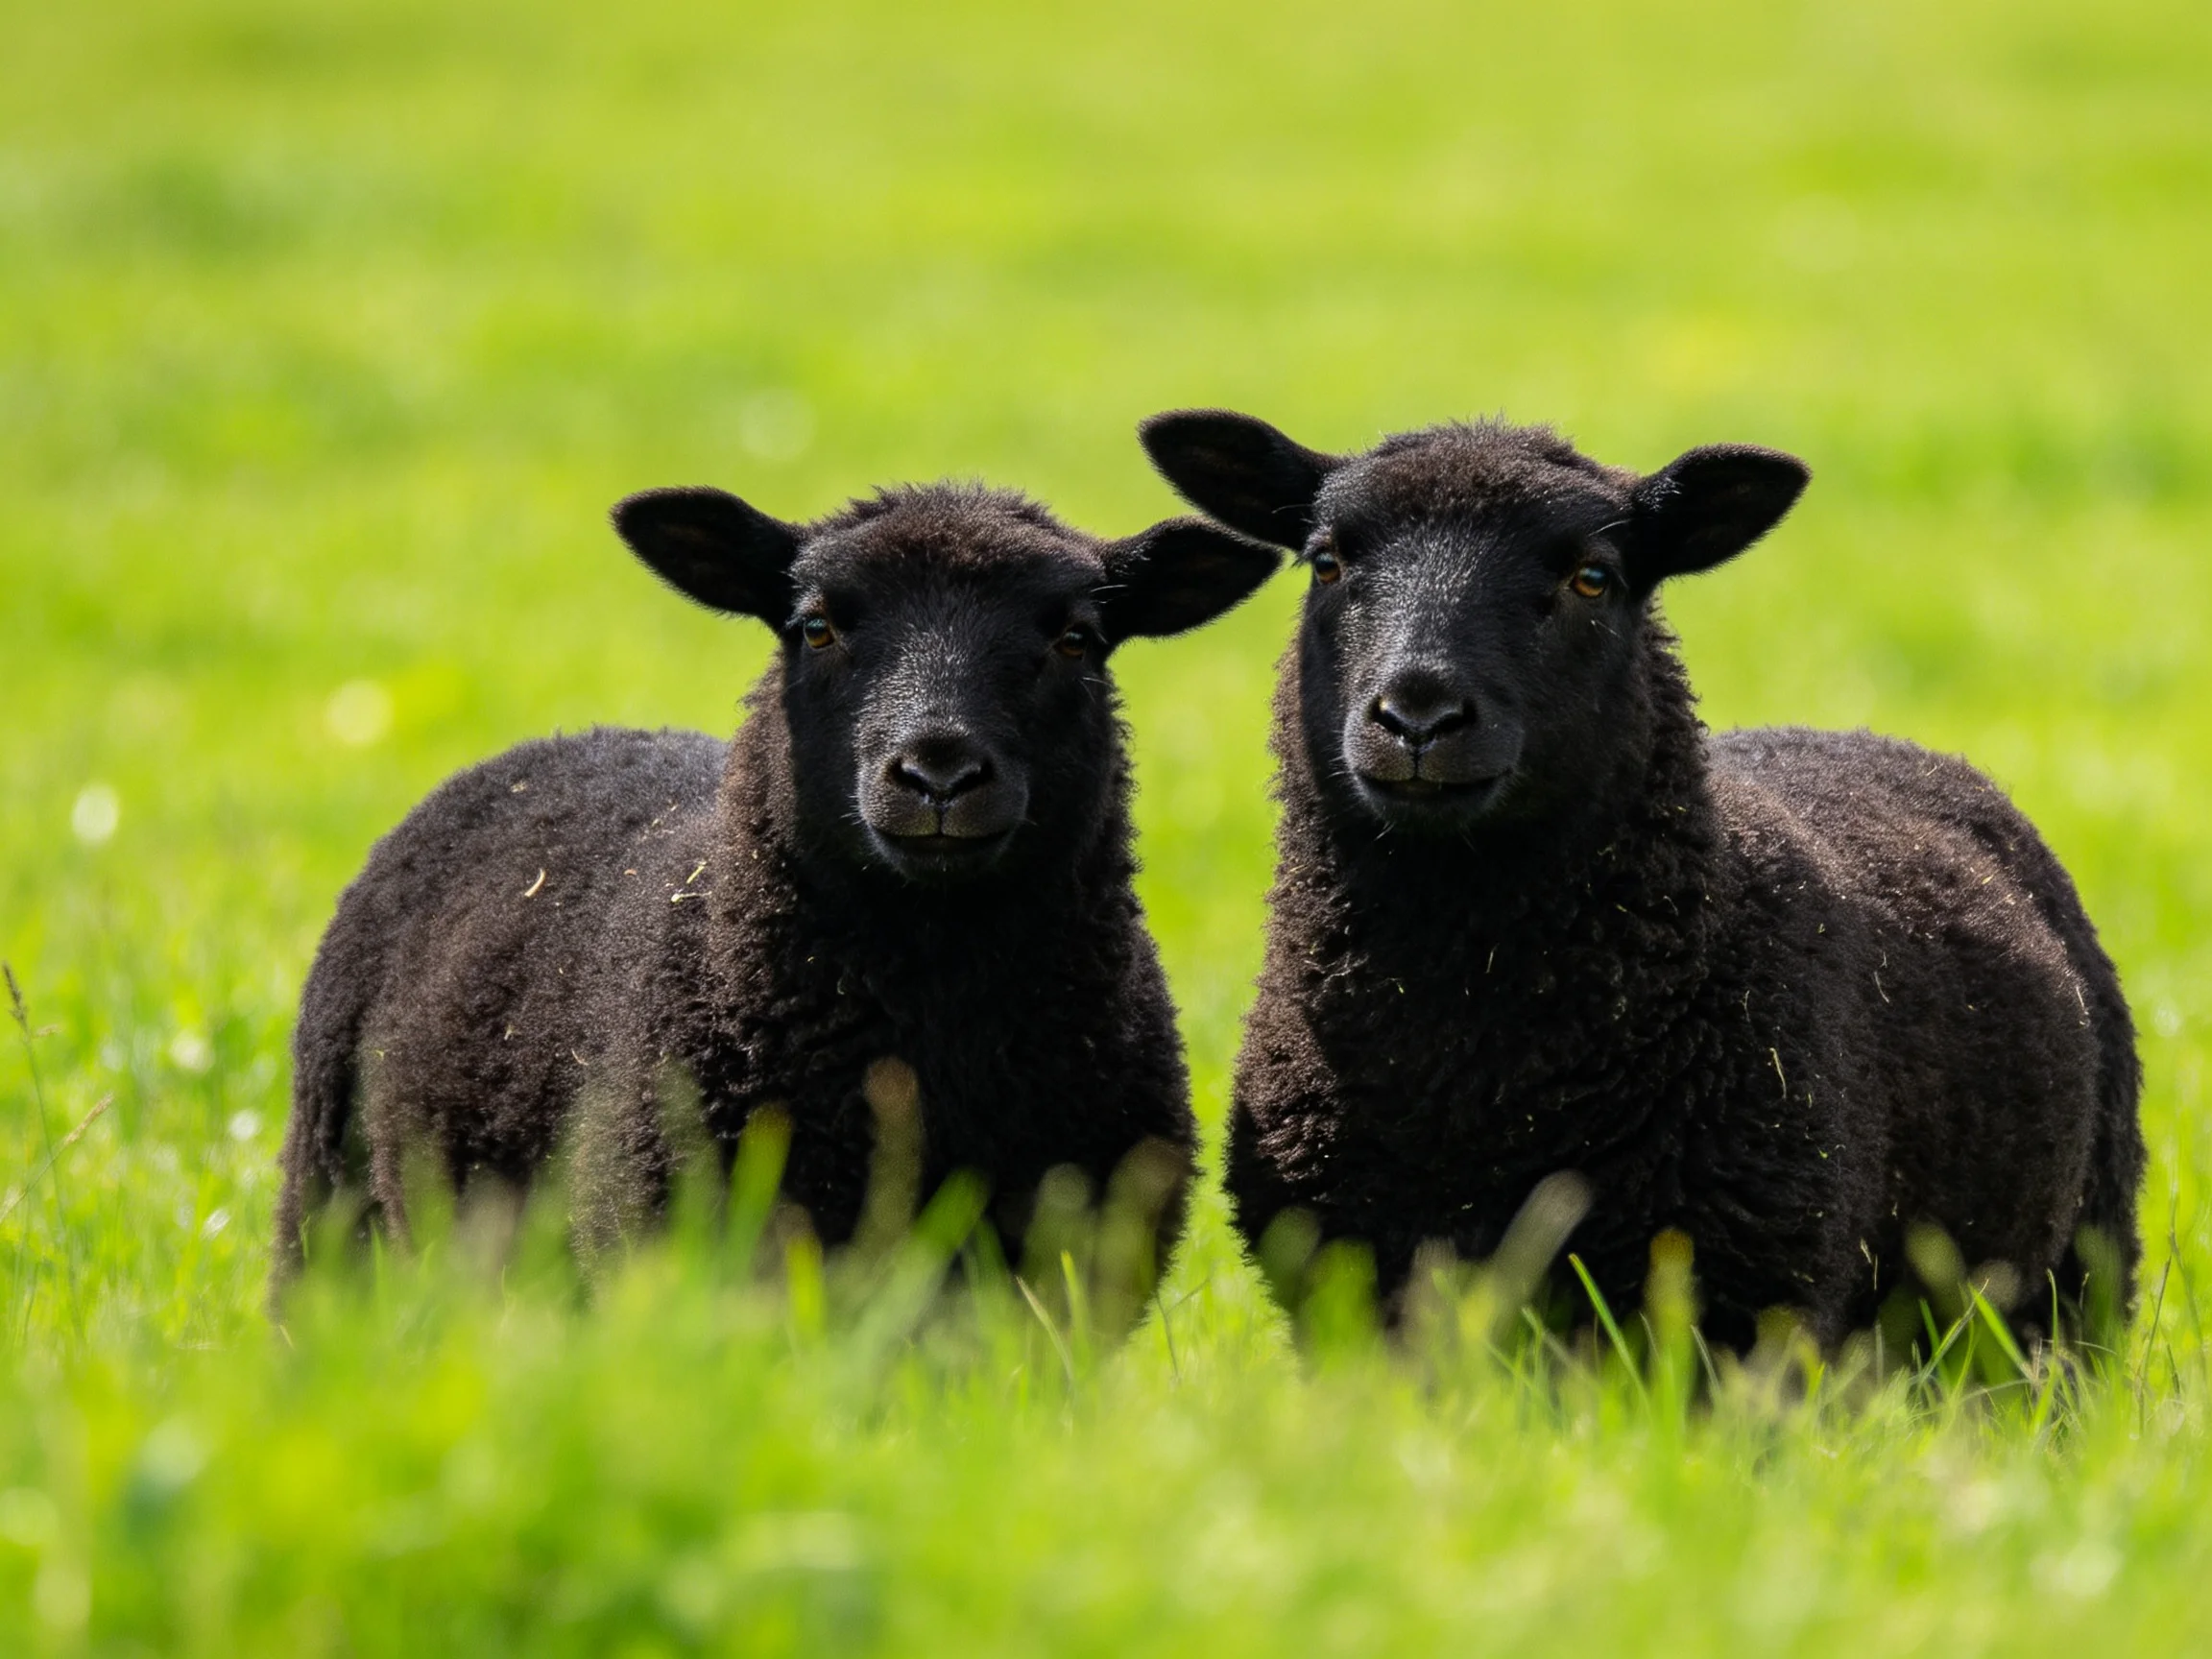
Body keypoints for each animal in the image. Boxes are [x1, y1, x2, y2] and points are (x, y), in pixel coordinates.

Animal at [272, 480, 1279, 1291]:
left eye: (1076, 639)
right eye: (817, 627)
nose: (939, 772)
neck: (932, 1029)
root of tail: (562, 739)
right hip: (329, 1212)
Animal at [1140, 408, 2144, 1350]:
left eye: (1593, 578)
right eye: (1326, 563)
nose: (1419, 714)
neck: (1473, 1068)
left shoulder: (1741, 1308)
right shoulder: (1351, 1293)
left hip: (2076, 1275)